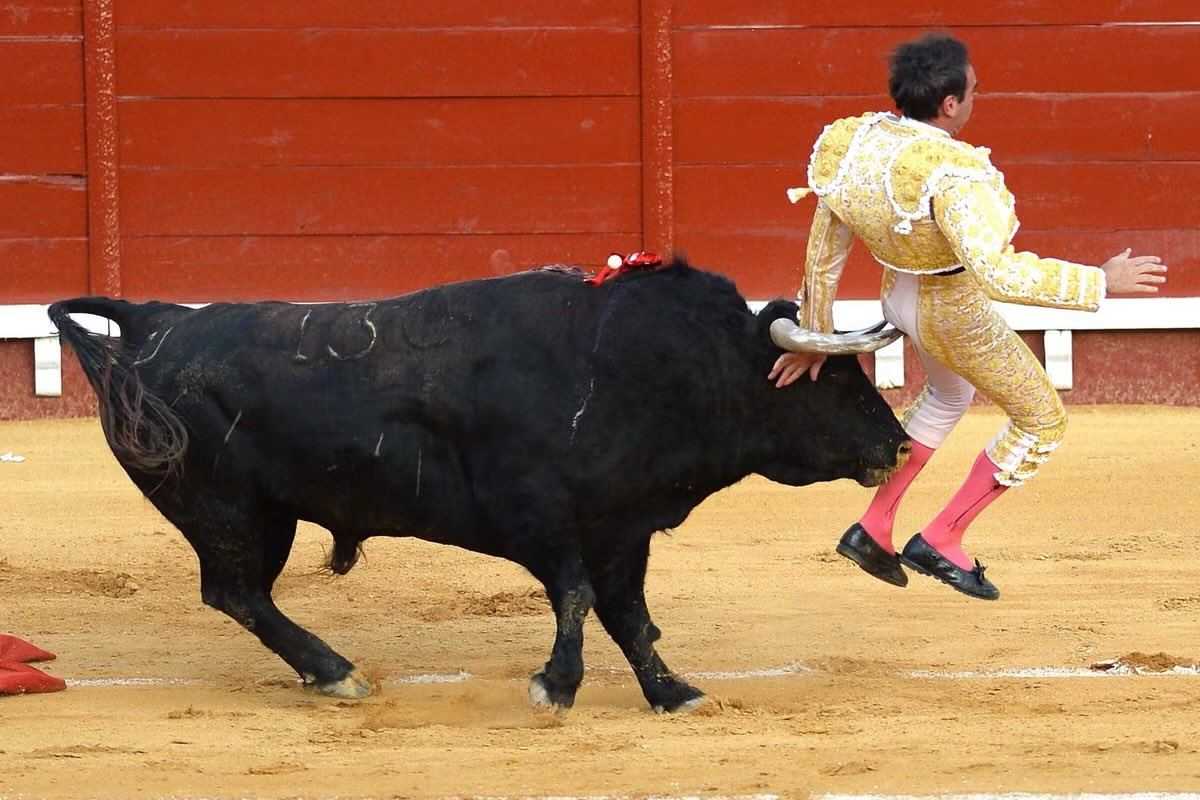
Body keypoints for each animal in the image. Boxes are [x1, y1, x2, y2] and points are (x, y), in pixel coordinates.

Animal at [49, 257, 908, 712]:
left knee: (239, 594)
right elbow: (578, 599)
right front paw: (556, 687)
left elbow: (631, 617)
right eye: (831, 378)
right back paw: (336, 672)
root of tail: (154, 322)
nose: (899, 445)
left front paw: (673, 693)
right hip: (228, 509)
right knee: (235, 592)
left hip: (260, 515)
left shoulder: (621, 529)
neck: (647, 365)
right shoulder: (542, 521)